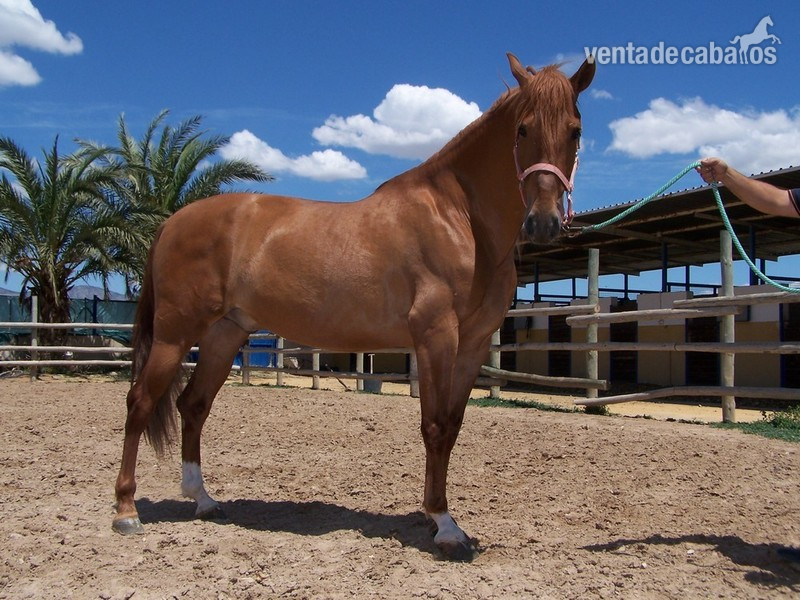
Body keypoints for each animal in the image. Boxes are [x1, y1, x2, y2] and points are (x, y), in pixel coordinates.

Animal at [112, 52, 596, 561]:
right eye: (522, 129)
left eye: (575, 130)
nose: (543, 223)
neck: (458, 218)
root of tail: (171, 222)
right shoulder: (435, 336)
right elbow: (434, 425)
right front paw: (444, 525)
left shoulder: (474, 344)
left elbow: (453, 426)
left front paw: (437, 516)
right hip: (175, 335)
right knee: (140, 402)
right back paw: (127, 512)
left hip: (224, 335)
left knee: (193, 405)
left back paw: (203, 500)